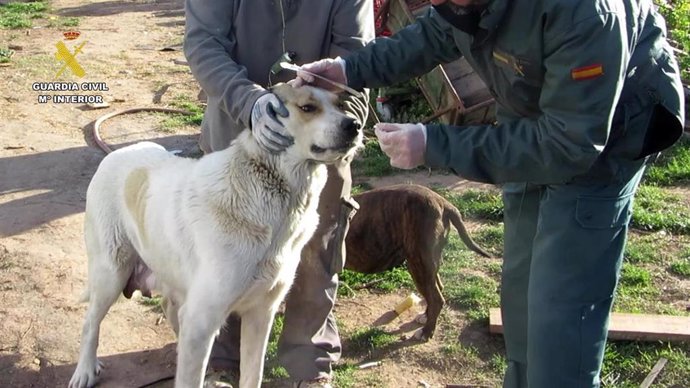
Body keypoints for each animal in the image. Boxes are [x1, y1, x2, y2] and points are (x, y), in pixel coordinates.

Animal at [68, 83, 362, 386]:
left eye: (341, 104)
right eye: (307, 108)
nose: (355, 125)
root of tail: (116, 154)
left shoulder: (261, 314)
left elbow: (252, 375)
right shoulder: (201, 321)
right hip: (111, 274)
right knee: (90, 323)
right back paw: (85, 371)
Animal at [344, 183, 490, 338]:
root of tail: (443, 202)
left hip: (418, 264)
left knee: (436, 298)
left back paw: (426, 332)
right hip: (427, 264)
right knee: (436, 290)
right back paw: (425, 317)